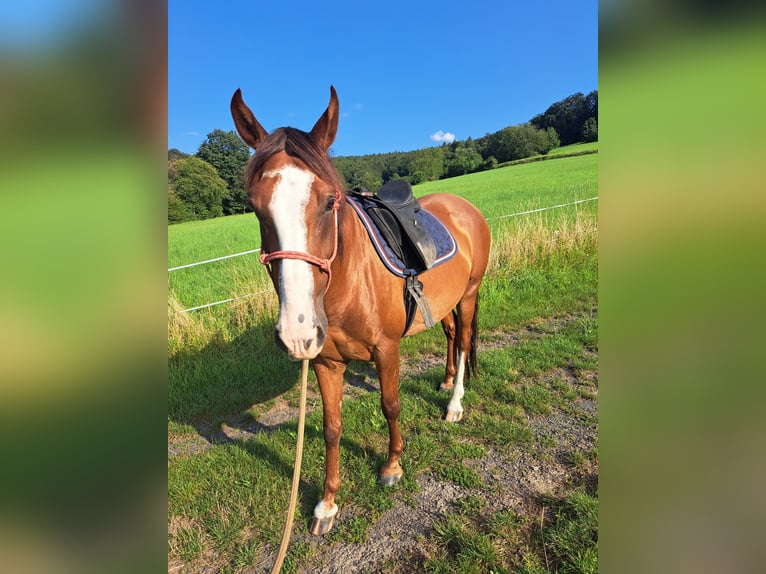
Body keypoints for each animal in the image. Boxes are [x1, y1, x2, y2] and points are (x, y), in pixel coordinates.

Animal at [231, 86, 492, 540]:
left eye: (329, 202)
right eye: (255, 206)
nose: (297, 330)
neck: (347, 284)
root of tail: (463, 205)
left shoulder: (386, 350)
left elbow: (390, 404)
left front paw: (392, 466)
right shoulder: (325, 361)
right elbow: (331, 427)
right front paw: (327, 504)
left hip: (469, 293)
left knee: (462, 342)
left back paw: (455, 403)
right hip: (444, 300)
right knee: (449, 335)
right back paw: (444, 382)